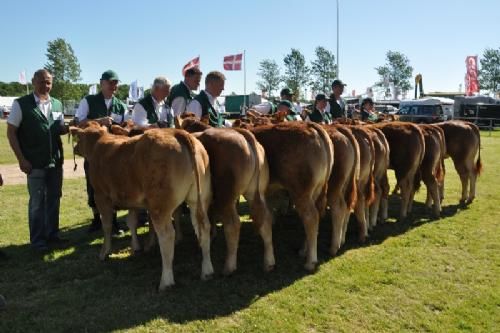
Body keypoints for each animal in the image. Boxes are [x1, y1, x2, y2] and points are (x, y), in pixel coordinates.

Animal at [69, 122, 212, 290]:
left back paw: (166, 281)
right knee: (204, 227)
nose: (75, 148)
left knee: (167, 235)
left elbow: (107, 225)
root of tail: (177, 132)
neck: (99, 144)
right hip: (198, 200)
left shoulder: (101, 196)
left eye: (78, 137)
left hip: (159, 206)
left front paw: (104, 252)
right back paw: (207, 270)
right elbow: (131, 221)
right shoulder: (132, 200)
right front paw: (136, 246)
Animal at [252, 122, 334, 270]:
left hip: (300, 192)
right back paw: (304, 250)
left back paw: (310, 261)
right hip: (316, 190)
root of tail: (310, 126)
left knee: (311, 218)